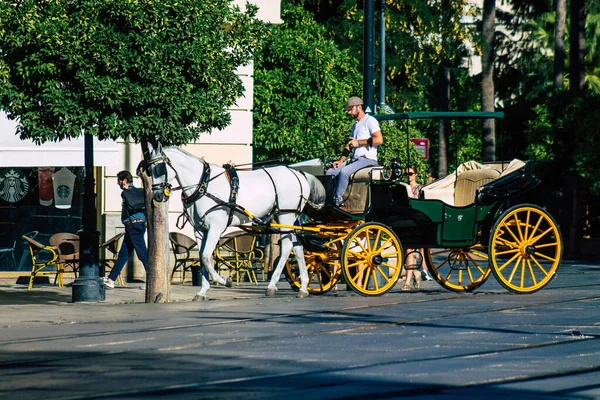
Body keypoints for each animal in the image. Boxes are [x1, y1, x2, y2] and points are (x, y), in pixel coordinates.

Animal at [147, 145, 326, 300]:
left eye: (159, 168)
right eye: (149, 169)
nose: (157, 196)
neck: (204, 185)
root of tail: (298, 173)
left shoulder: (215, 228)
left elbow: (205, 256)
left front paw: (225, 281)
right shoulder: (199, 230)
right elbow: (202, 257)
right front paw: (202, 291)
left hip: (286, 216)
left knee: (288, 247)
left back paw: (275, 285)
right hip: (285, 221)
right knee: (297, 247)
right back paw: (301, 287)